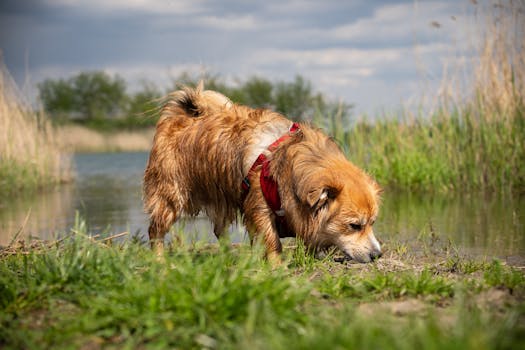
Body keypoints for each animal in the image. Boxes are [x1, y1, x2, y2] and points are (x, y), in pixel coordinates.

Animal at [142, 84, 380, 262]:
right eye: (354, 226)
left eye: (373, 223)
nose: (378, 254)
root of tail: (180, 116)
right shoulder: (259, 205)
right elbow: (272, 240)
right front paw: (277, 267)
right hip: (171, 194)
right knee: (155, 231)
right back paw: (160, 262)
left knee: (220, 230)